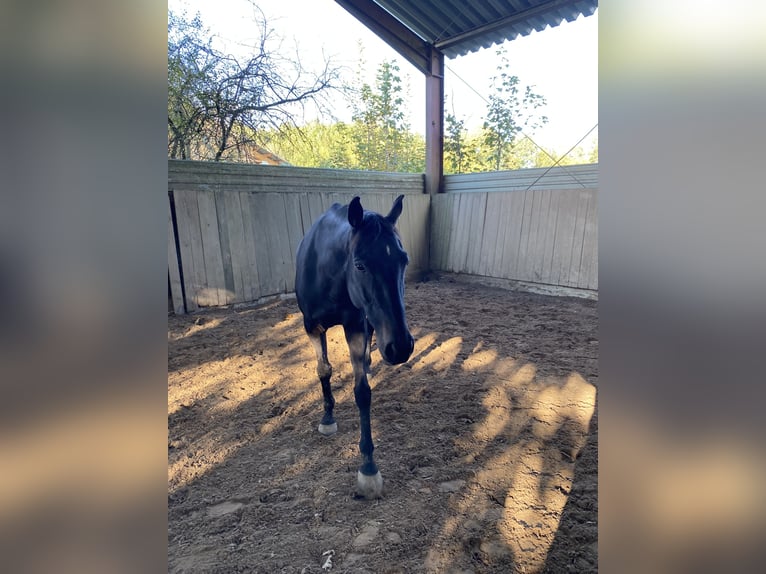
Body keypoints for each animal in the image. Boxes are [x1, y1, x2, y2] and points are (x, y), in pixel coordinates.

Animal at [296, 195, 414, 500]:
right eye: (359, 265)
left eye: (404, 260)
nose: (401, 347)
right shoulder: (311, 327)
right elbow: (323, 370)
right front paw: (327, 417)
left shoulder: (355, 325)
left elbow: (362, 392)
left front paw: (368, 467)